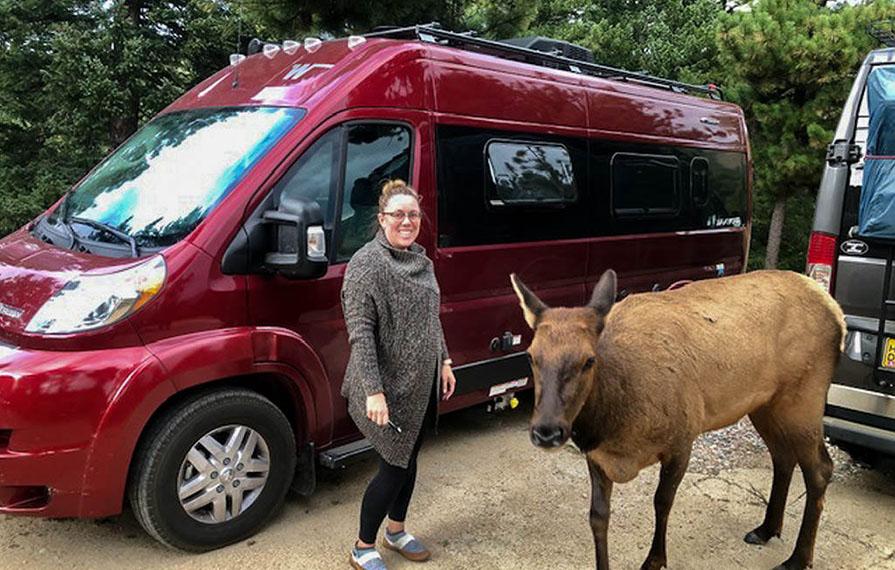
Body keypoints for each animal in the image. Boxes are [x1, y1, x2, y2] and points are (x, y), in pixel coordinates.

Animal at [510, 269, 846, 570]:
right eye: (530, 356)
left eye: (589, 360)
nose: (547, 431)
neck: (614, 426)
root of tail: (837, 314)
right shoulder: (596, 455)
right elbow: (598, 517)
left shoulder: (682, 438)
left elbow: (662, 502)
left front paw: (655, 560)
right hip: (766, 404)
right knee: (783, 457)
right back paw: (766, 529)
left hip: (804, 397)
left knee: (820, 469)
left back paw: (799, 559)